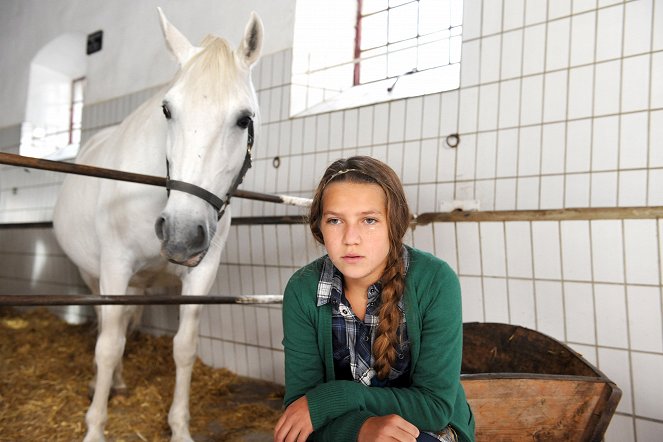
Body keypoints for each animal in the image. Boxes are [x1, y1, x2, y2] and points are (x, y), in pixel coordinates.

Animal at [51, 7, 262, 442]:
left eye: (243, 119)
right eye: (167, 110)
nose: (180, 234)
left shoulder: (200, 275)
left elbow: (184, 348)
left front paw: (179, 427)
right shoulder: (114, 267)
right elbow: (107, 346)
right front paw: (95, 428)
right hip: (92, 274)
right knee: (107, 329)